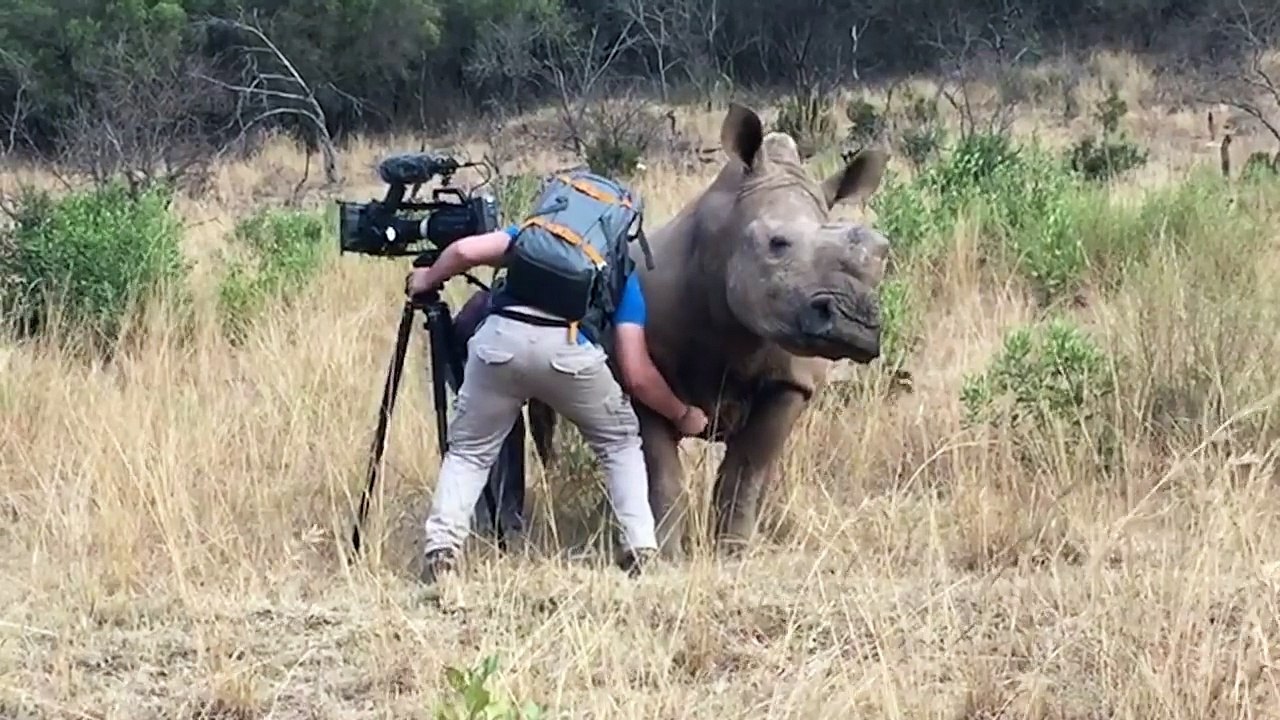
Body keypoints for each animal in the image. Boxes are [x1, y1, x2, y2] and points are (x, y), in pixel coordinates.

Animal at [456, 103, 891, 557]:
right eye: (777, 244)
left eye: (884, 253)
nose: (855, 324)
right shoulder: (643, 375)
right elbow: (662, 475)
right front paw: (668, 555)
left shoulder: (791, 381)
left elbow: (746, 474)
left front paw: (733, 550)